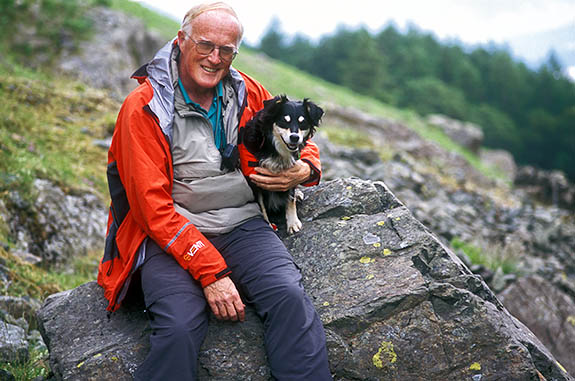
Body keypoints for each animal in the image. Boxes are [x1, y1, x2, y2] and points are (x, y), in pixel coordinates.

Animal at [243, 93, 324, 233]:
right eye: (284, 121)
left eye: (303, 123)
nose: (294, 137)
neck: (275, 147)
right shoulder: (253, 178)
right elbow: (261, 204)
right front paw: (268, 223)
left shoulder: (291, 175)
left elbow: (290, 199)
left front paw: (292, 223)